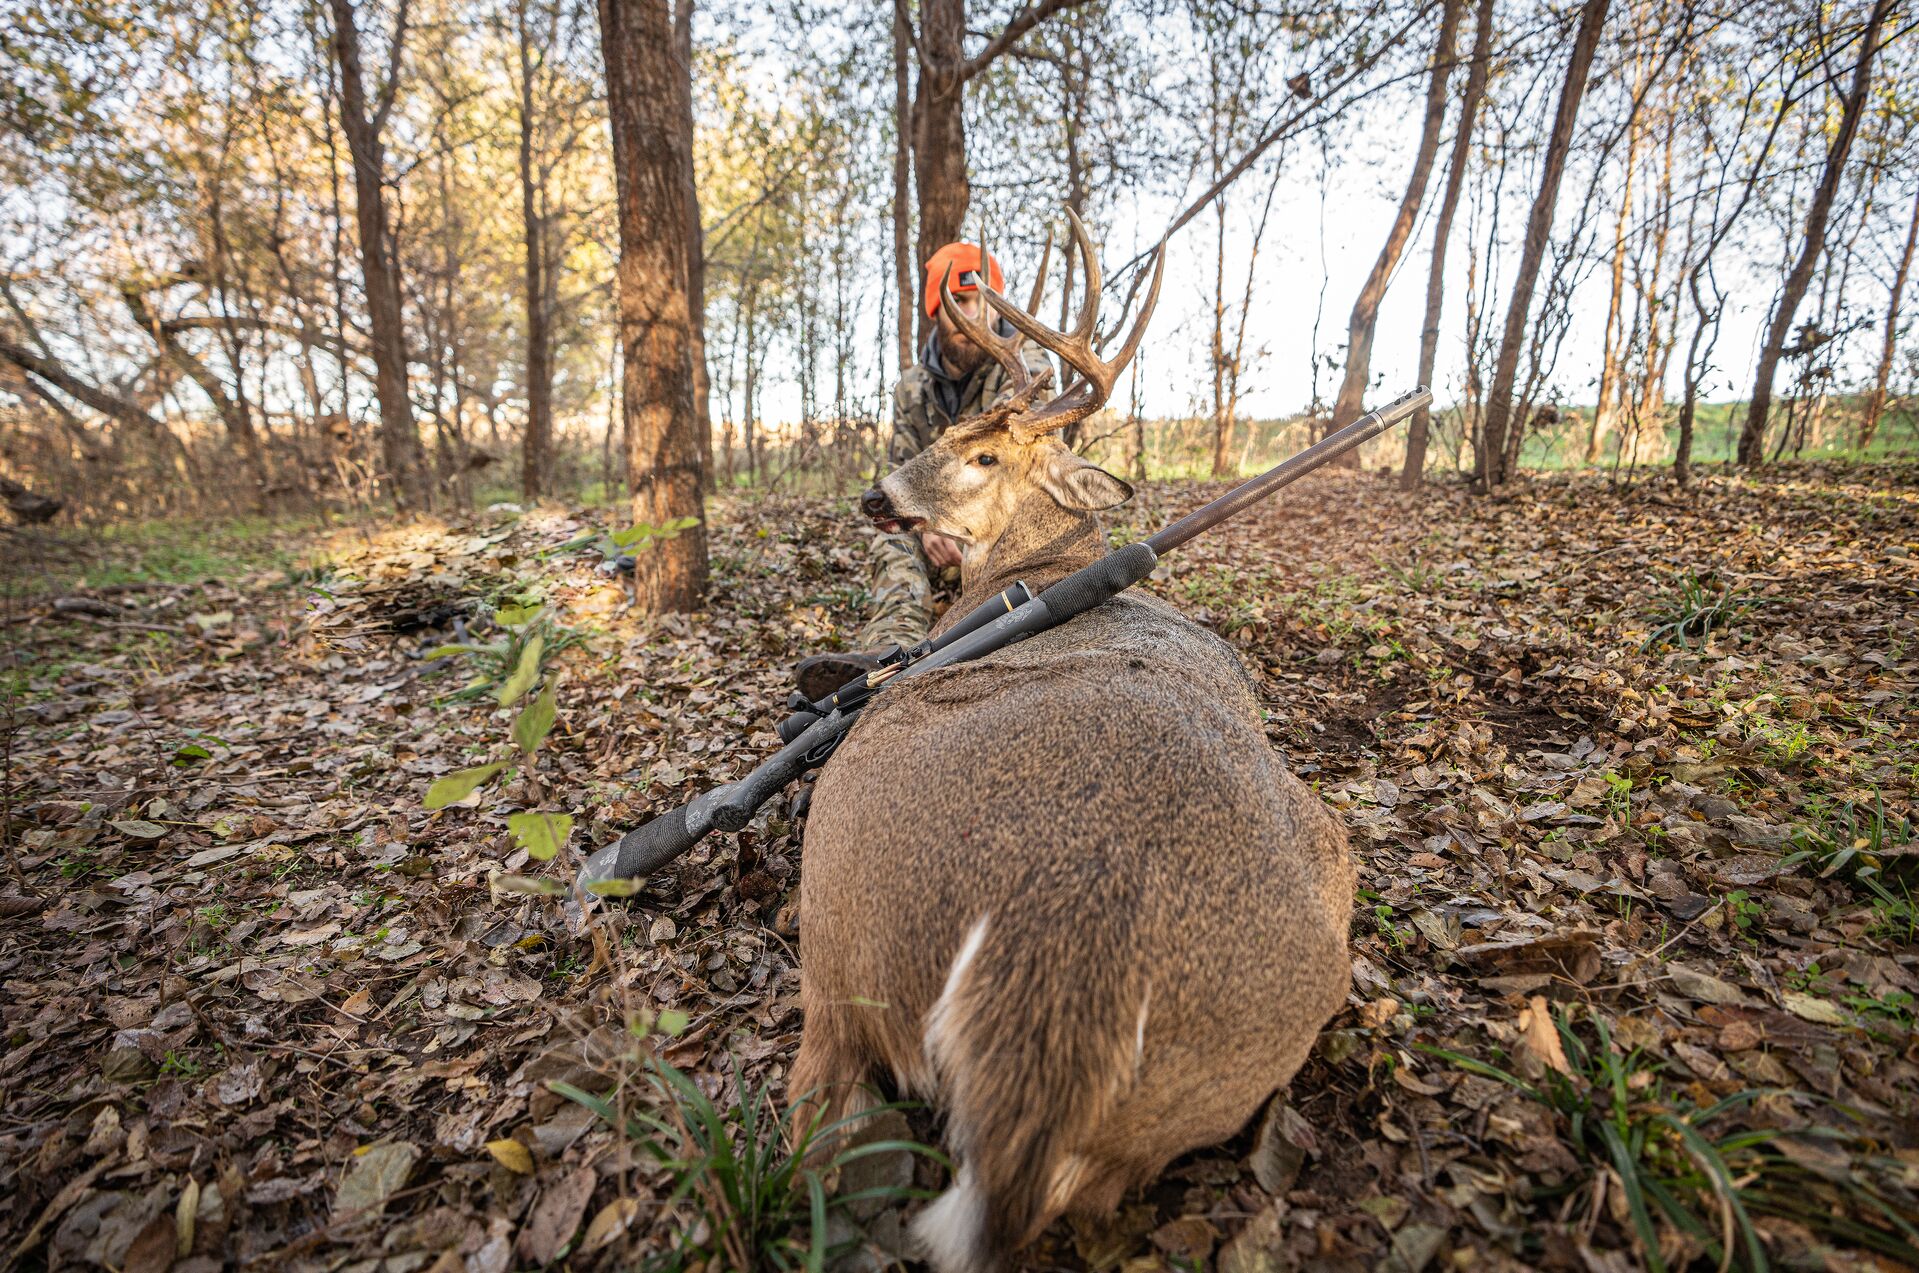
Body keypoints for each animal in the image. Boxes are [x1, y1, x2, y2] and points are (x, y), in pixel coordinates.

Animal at [790, 211, 1354, 1273]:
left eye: (985, 459)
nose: (876, 499)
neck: (1042, 569)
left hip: (836, 916)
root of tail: (1066, 968)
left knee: (820, 1112)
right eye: (946, 434)